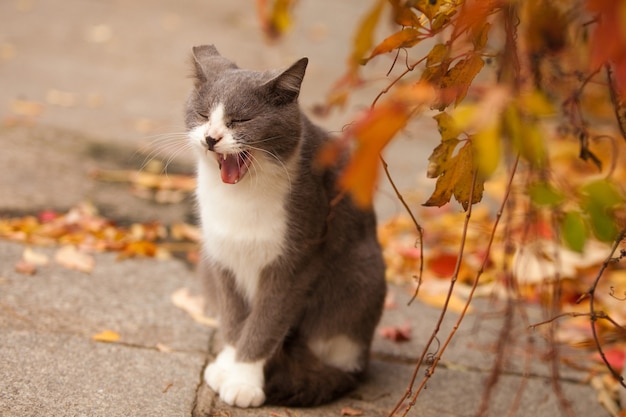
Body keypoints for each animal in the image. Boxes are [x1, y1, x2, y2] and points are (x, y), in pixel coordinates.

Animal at [184, 44, 386, 406]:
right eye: (204, 115)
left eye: (241, 120)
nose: (210, 138)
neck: (238, 199)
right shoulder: (221, 256)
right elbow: (234, 320)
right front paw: (229, 365)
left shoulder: (294, 260)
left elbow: (265, 323)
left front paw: (244, 381)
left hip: (361, 275)